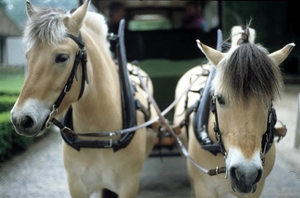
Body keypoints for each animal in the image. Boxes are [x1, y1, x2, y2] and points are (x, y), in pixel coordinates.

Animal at [10, 0, 158, 197]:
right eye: (28, 56)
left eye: (62, 57)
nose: (21, 119)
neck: (99, 135)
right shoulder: (77, 186)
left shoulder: (128, 186)